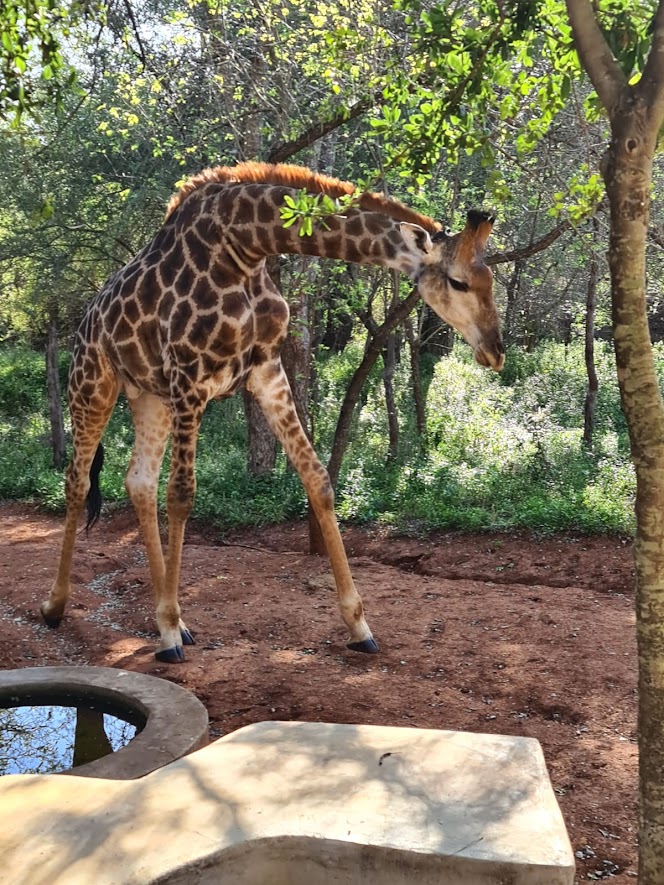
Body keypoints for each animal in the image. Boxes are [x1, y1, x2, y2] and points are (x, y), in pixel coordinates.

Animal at [42, 162, 505, 663]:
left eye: (490, 282)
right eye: (458, 281)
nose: (495, 352)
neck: (245, 246)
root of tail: (84, 322)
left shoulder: (265, 370)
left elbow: (318, 478)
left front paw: (359, 625)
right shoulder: (190, 375)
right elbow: (182, 496)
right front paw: (165, 633)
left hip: (151, 396)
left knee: (138, 480)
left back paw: (177, 622)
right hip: (94, 385)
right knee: (78, 480)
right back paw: (57, 607)